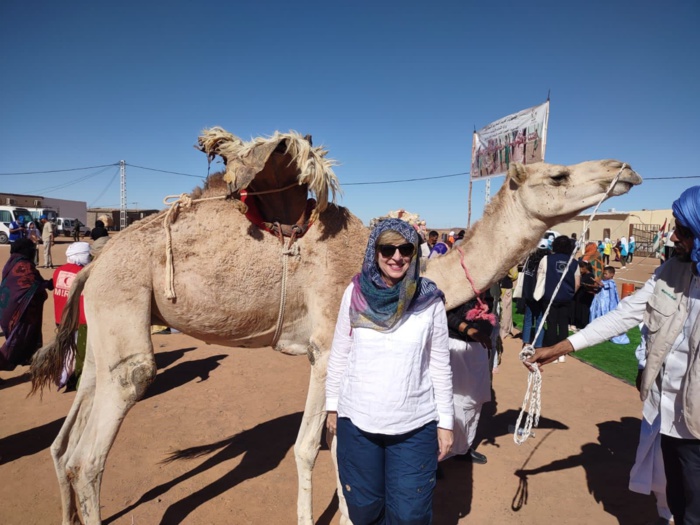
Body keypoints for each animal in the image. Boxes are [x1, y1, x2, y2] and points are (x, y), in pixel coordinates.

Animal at [27, 128, 640, 524]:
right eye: (558, 174)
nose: (625, 168)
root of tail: (97, 261)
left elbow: (342, 438)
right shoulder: (326, 347)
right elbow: (308, 448)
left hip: (107, 324)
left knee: (64, 440)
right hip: (126, 313)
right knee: (91, 452)